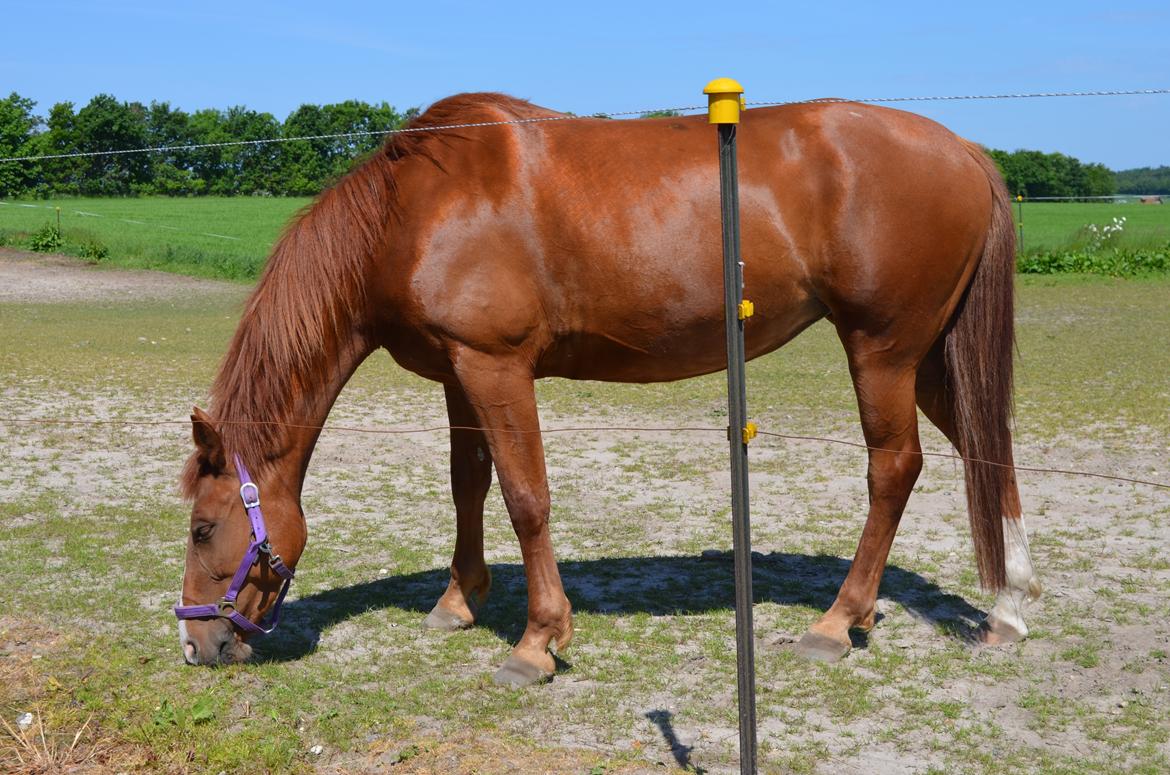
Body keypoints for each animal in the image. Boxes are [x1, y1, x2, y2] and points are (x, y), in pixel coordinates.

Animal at [175, 92, 1043, 688]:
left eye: (202, 527)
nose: (196, 642)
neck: (414, 208)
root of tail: (966, 152)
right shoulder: (459, 374)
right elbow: (468, 486)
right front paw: (459, 600)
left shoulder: (495, 367)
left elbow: (525, 496)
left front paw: (537, 640)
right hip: (928, 359)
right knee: (987, 448)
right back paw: (1008, 608)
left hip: (883, 352)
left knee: (895, 469)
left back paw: (838, 619)